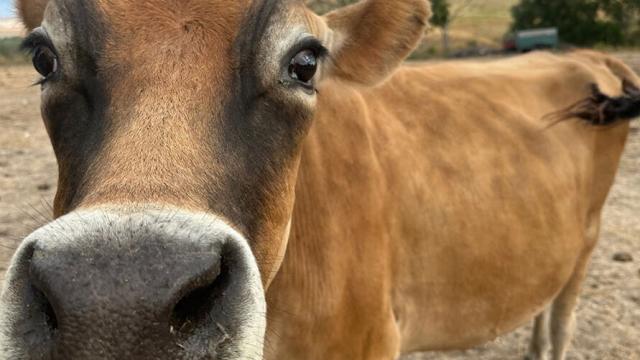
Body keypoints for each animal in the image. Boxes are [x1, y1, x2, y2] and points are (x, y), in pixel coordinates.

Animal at [1, 0, 640, 360]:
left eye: (305, 62)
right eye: (43, 58)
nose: (114, 305)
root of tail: (585, 56)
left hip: (585, 244)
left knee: (560, 323)